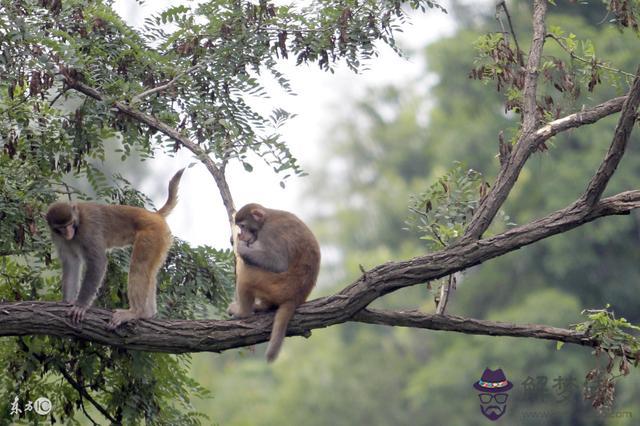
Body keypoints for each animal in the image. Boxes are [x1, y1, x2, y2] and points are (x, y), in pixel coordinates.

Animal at [44, 168, 185, 328]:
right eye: (61, 227)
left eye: (69, 224)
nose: (68, 233)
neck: (78, 224)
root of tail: (154, 215)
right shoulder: (58, 237)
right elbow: (71, 262)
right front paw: (67, 301)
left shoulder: (88, 230)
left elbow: (97, 262)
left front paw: (80, 306)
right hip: (161, 239)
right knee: (149, 271)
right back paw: (147, 314)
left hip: (152, 235)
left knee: (139, 266)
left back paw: (136, 312)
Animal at [229, 201, 320, 362]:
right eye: (239, 226)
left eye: (244, 226)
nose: (242, 234)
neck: (266, 219)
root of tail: (296, 298)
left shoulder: (269, 232)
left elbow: (278, 263)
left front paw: (241, 247)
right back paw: (262, 307)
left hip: (274, 286)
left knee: (246, 273)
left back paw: (243, 313)